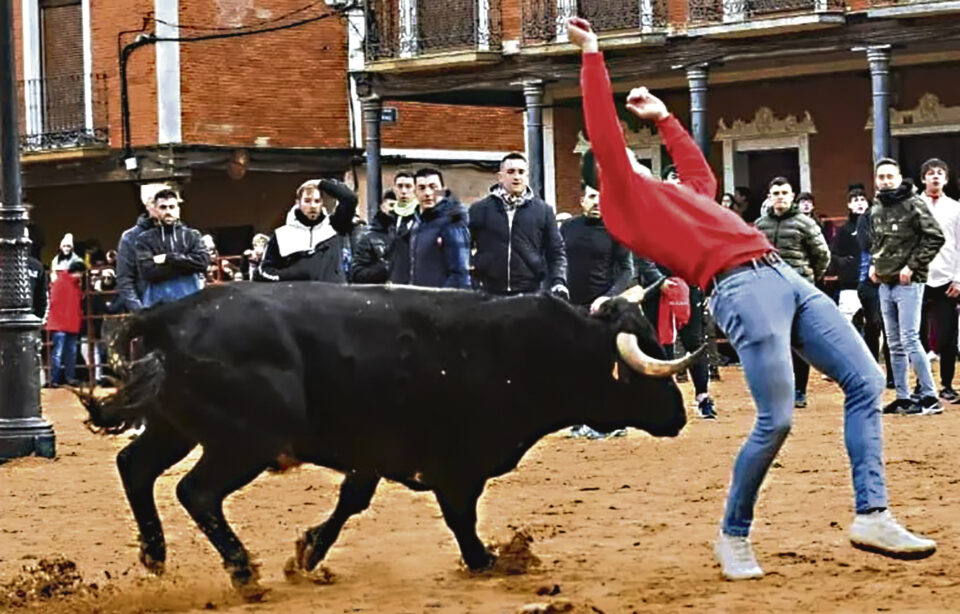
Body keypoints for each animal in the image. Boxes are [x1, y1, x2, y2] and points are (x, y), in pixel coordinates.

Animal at [73, 284, 696, 600]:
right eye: (641, 368)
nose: (679, 415)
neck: (533, 350)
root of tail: (167, 315)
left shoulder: (370, 453)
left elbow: (351, 501)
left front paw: (307, 555)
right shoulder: (457, 465)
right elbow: (461, 517)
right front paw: (487, 561)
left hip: (174, 429)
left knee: (134, 466)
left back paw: (155, 555)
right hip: (245, 441)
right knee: (196, 492)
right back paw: (243, 572)